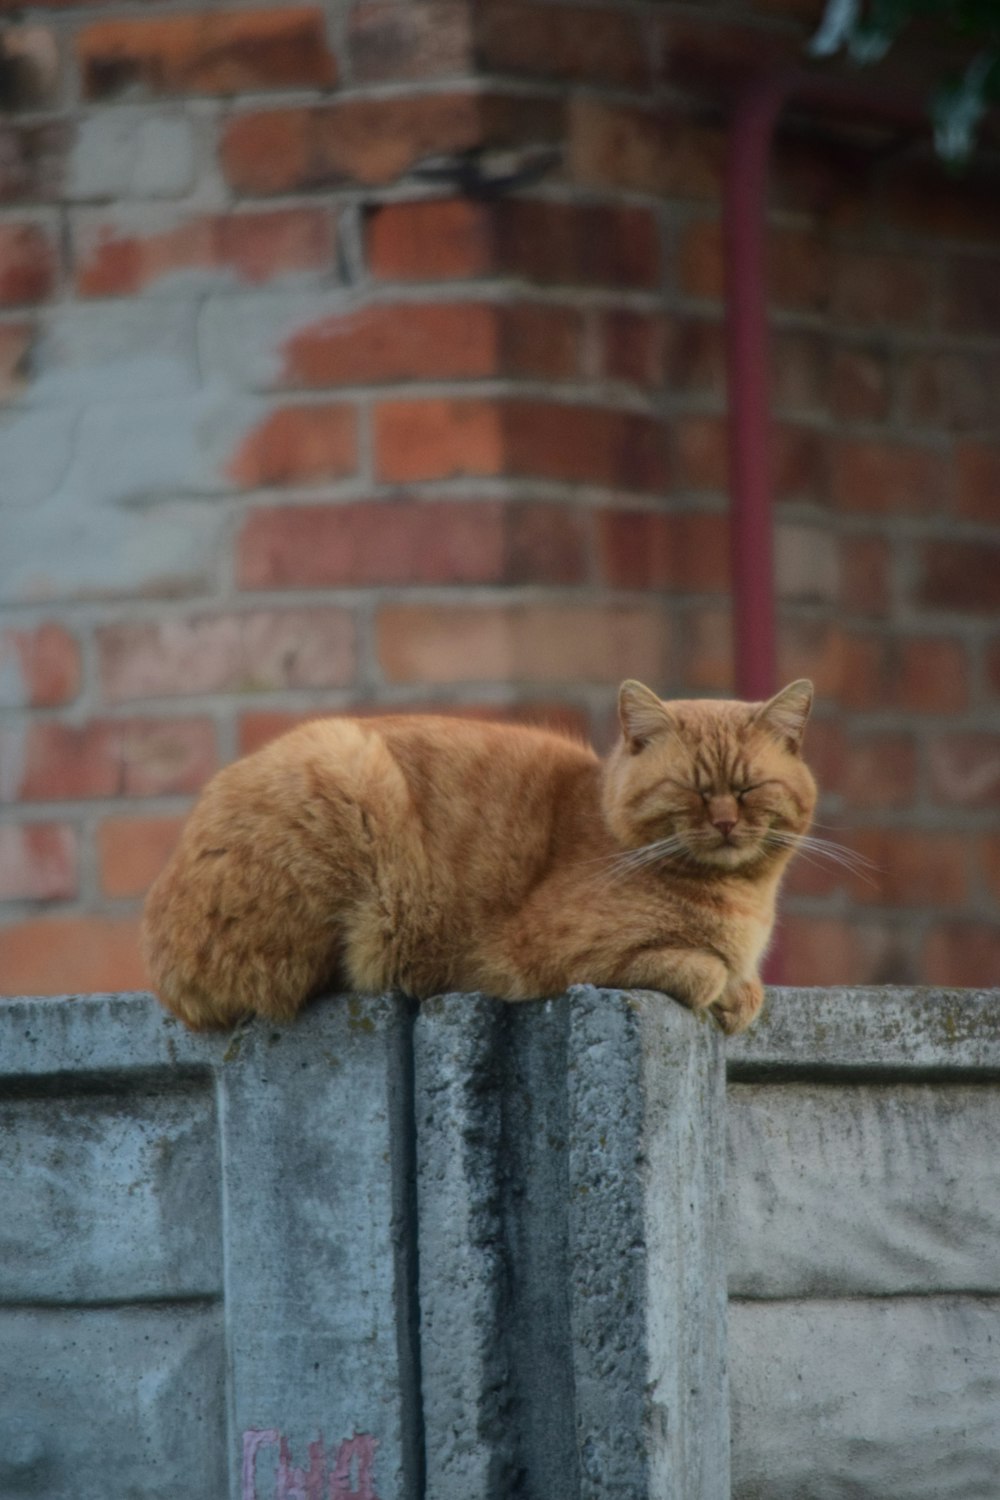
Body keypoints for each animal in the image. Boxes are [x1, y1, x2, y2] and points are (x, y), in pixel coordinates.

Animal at [140, 681, 815, 1032]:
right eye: (692, 791)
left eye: (750, 789)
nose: (725, 822)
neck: (742, 902)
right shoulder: (546, 957)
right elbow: (700, 970)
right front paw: (724, 988)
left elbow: (745, 983)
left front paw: (743, 991)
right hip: (347, 774)